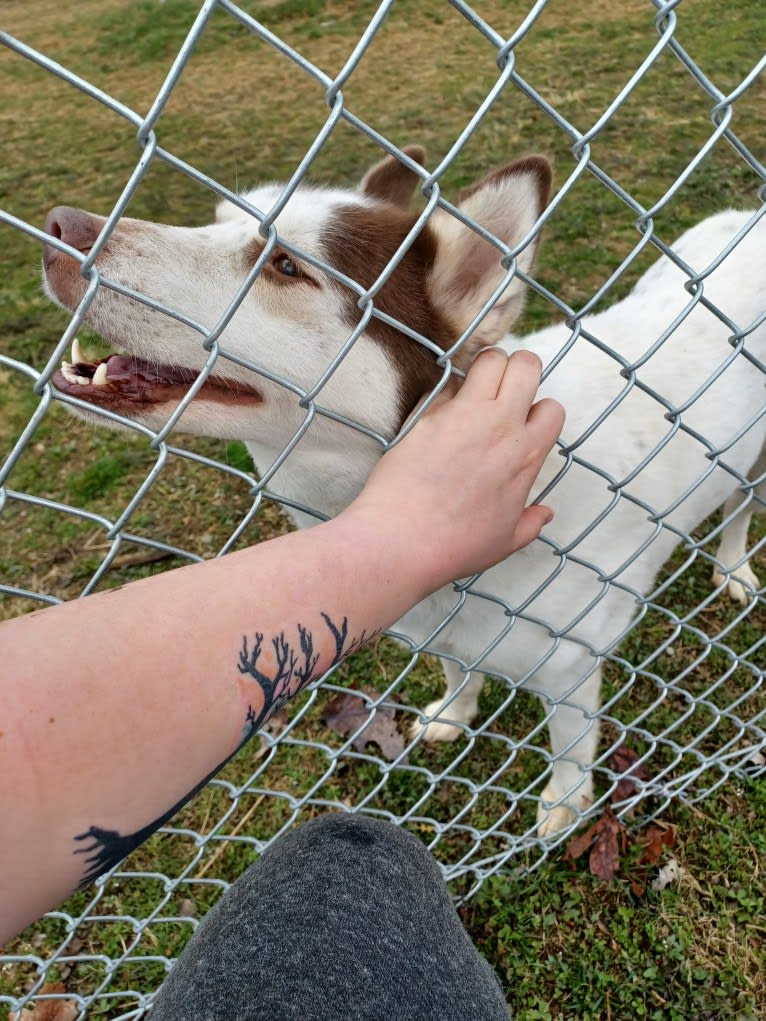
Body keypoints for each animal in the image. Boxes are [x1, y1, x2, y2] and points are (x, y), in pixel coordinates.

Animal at [43, 153, 766, 837]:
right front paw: (455, 713)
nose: (58, 229)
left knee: (738, 512)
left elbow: (570, 749)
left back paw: (733, 567)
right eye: (219, 219)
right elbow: (457, 670)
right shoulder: (440, 629)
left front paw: (564, 804)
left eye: (284, 264)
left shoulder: (570, 671)